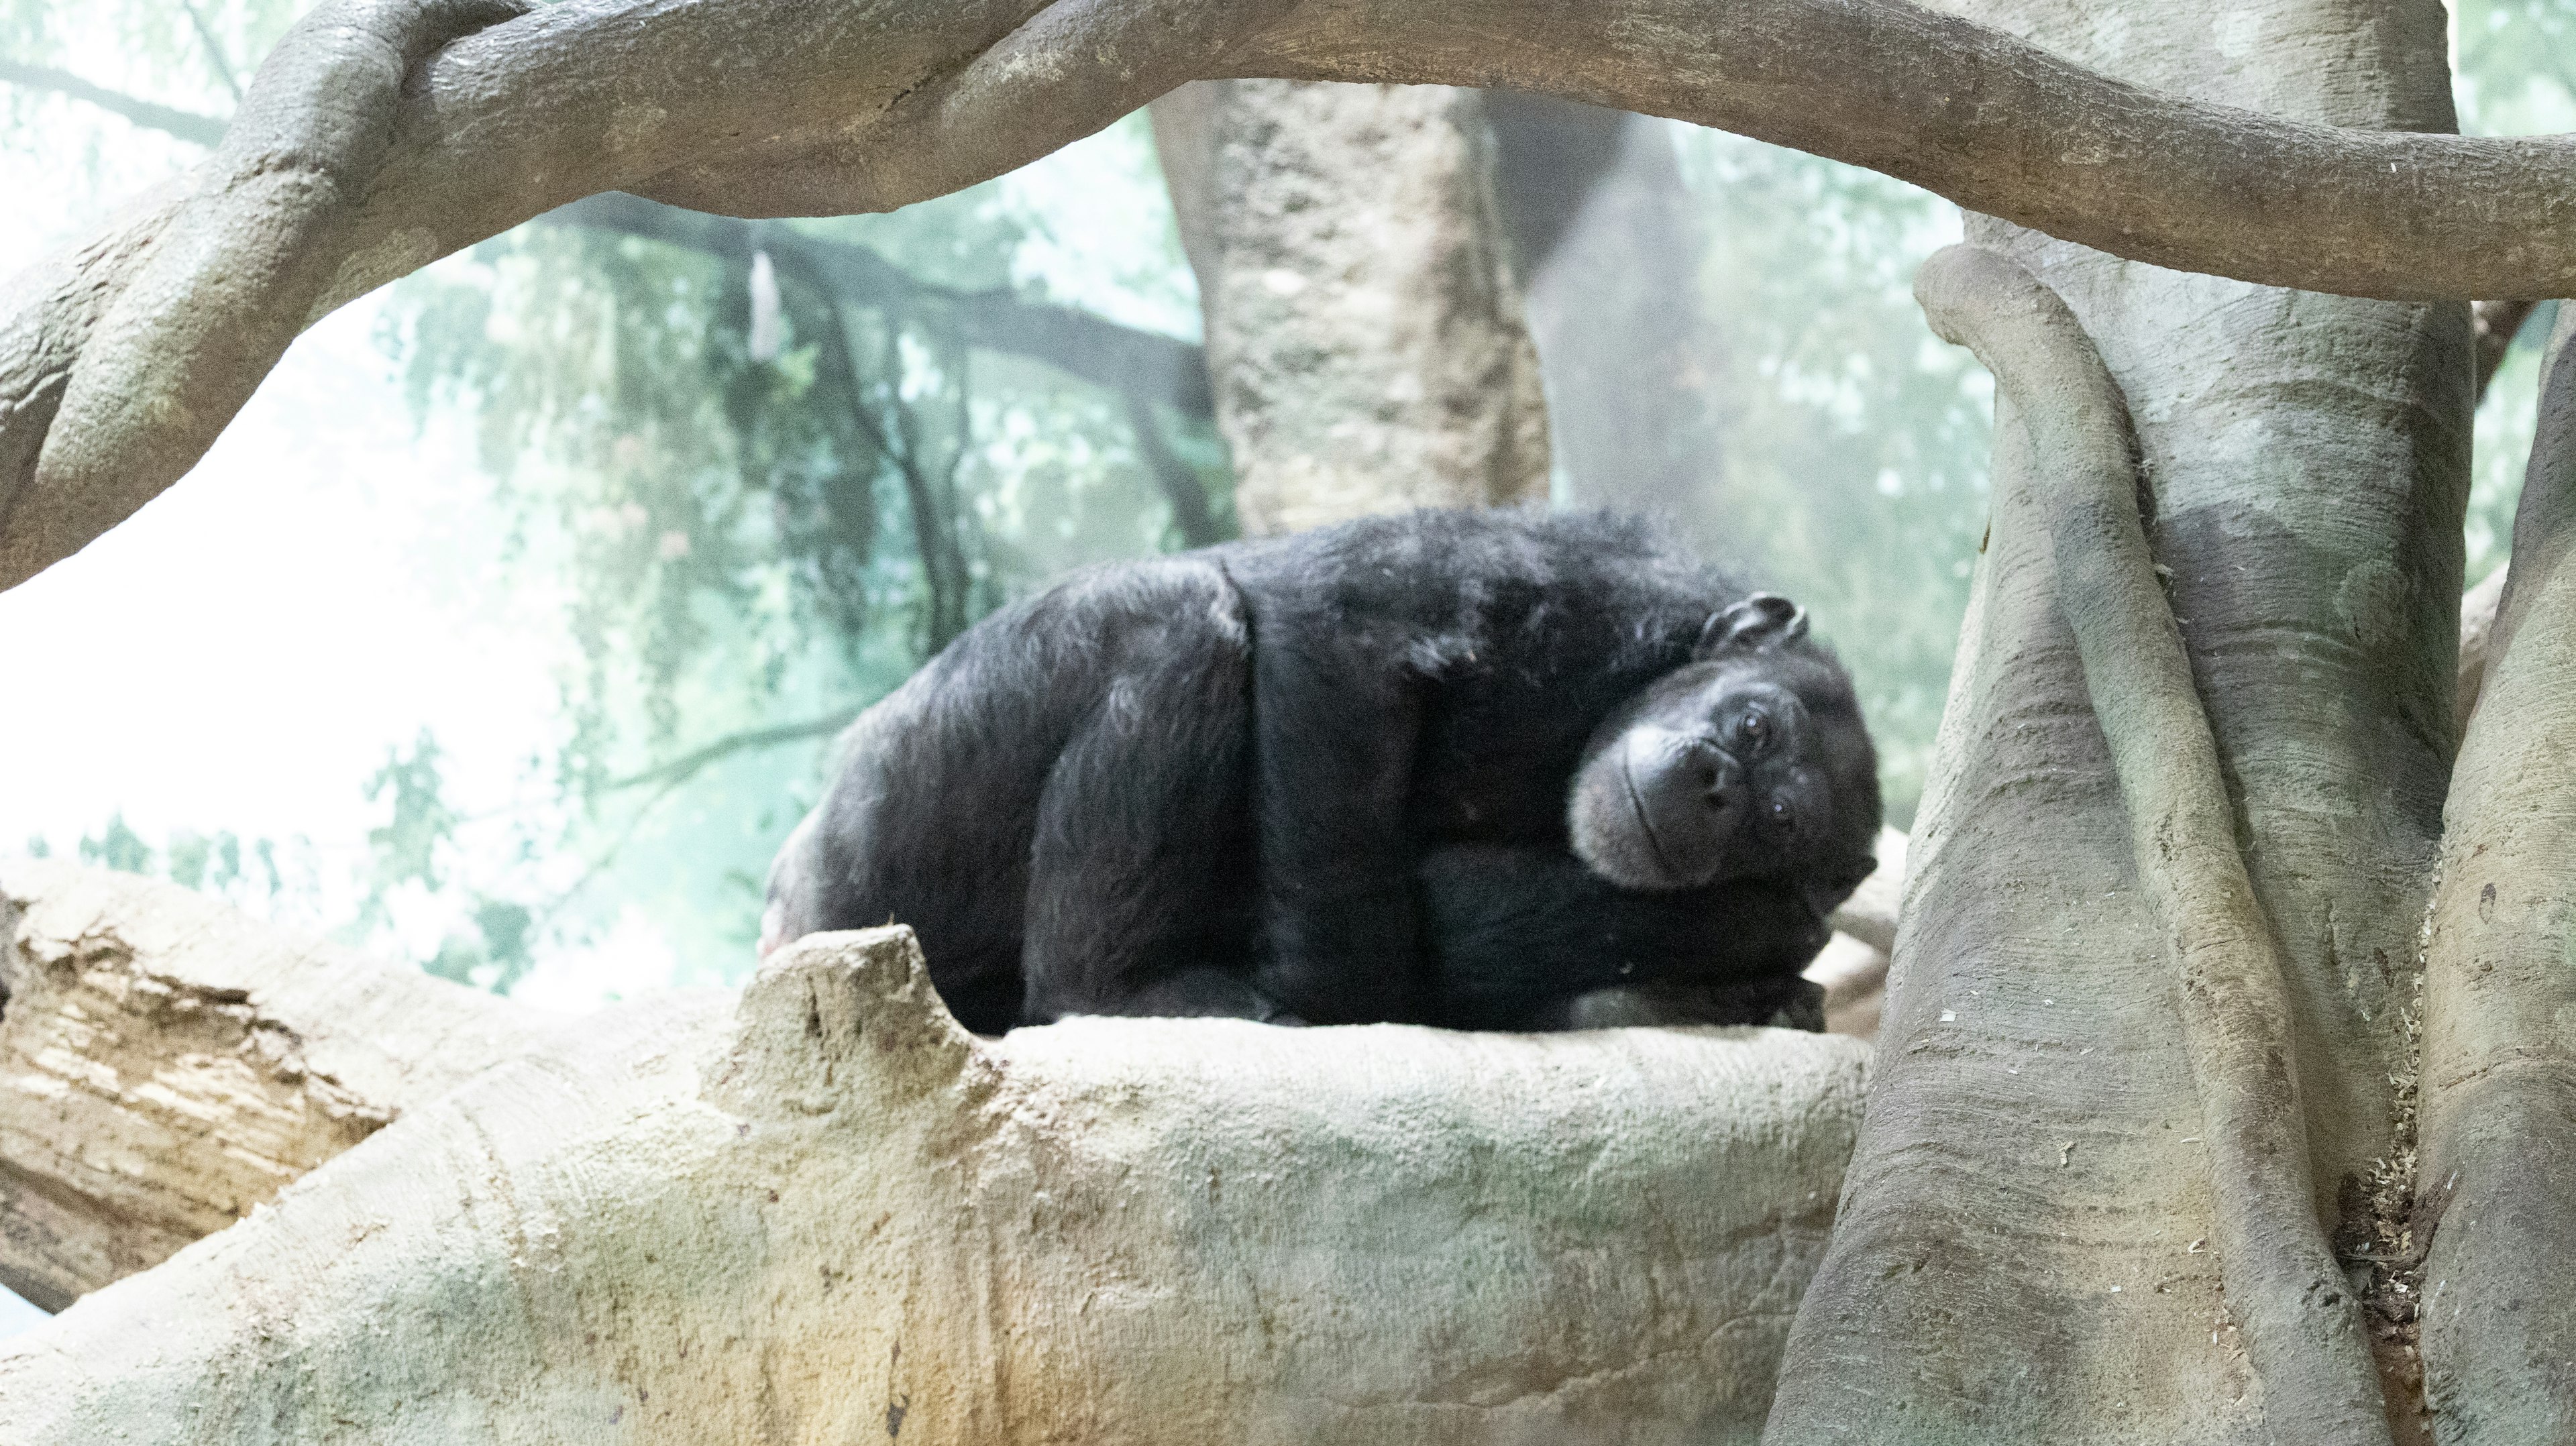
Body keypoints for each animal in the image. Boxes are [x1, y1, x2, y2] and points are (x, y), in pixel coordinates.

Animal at [752, 508, 1885, 1036]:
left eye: (1781, 822)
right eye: (1753, 726)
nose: (1721, 785)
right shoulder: (1584, 596)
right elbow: (1338, 630)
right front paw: (1341, 992)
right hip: (909, 803)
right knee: (1177, 617)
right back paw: (1133, 993)